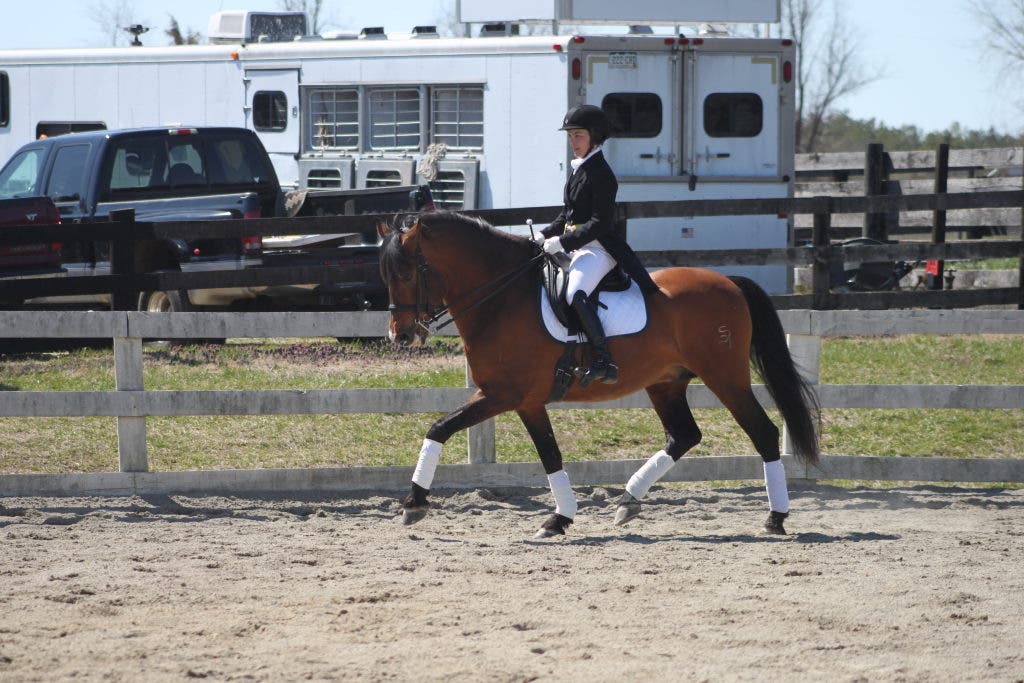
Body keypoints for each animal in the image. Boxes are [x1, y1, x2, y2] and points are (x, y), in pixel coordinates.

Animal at [377, 211, 819, 538]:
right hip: (666, 382)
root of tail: (729, 281)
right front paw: (559, 519)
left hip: (725, 377)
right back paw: (628, 502)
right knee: (684, 436)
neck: (503, 299)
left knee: (762, 433)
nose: (400, 336)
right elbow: (548, 455)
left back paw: (776, 518)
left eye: (408, 274)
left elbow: (441, 427)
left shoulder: (504, 395)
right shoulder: (523, 401)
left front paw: (414, 504)